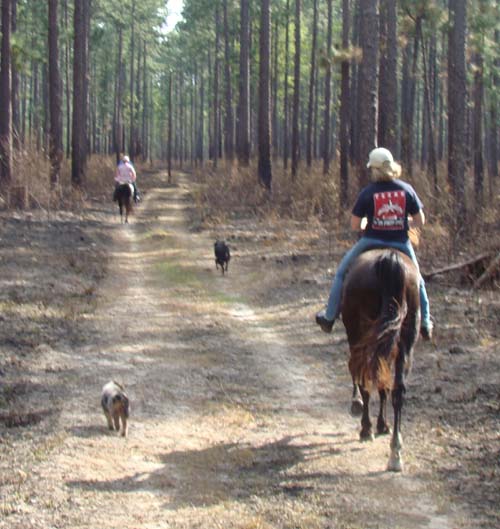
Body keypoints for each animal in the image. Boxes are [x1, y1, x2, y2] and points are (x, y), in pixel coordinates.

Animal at [342, 248, 420, 470]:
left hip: (360, 334)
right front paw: (383, 425)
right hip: (405, 339)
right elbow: (384, 386)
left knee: (366, 381)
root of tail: (391, 260)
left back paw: (367, 430)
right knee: (398, 390)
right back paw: (395, 453)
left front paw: (368, 422)